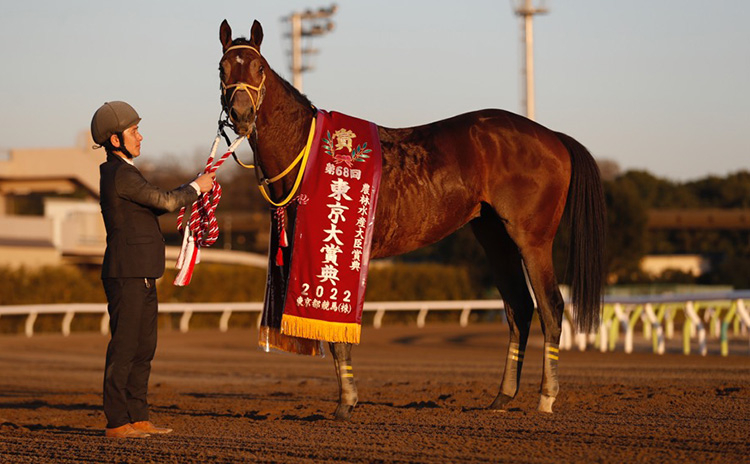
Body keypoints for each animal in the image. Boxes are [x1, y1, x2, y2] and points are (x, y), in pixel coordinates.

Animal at [216, 19, 604, 420]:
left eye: (259, 67)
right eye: (223, 68)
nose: (242, 114)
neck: (310, 152)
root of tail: (553, 137)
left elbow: (337, 332)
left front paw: (346, 401)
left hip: (533, 239)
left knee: (551, 308)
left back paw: (546, 398)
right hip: (495, 237)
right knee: (520, 308)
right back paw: (502, 397)